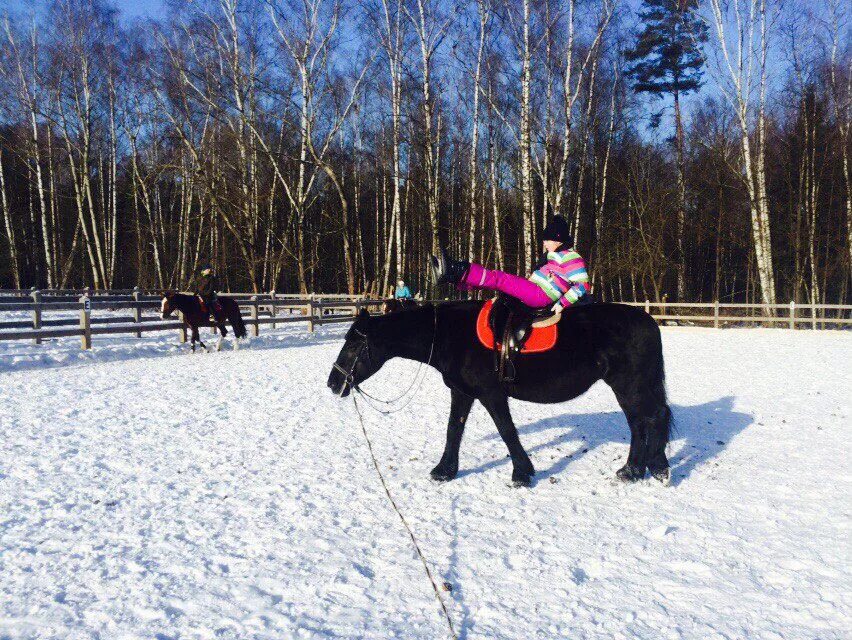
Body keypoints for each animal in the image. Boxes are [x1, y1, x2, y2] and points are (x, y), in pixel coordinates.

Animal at [330, 302, 668, 488]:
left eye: (353, 343)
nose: (333, 383)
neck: (451, 335)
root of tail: (649, 321)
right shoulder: (462, 392)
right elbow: (454, 430)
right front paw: (444, 471)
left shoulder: (491, 394)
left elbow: (506, 431)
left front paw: (521, 473)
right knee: (641, 423)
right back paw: (635, 469)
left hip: (630, 386)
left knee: (650, 420)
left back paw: (653, 468)